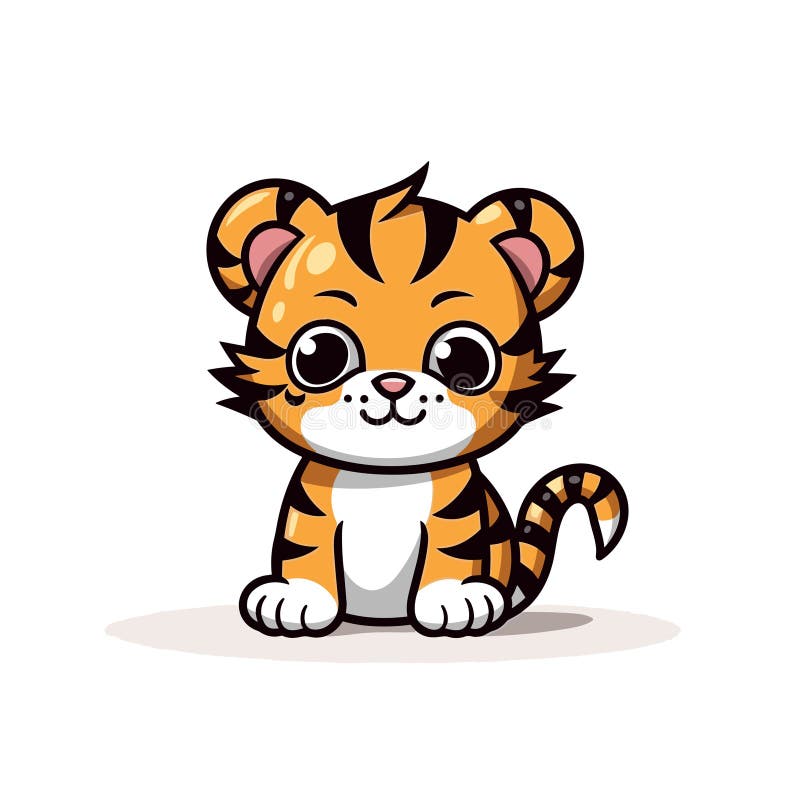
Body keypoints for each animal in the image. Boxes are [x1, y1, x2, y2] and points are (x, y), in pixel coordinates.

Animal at [207, 165, 629, 637]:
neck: (384, 477)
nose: (393, 384)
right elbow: (305, 553)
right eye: (319, 355)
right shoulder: (311, 505)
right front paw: (296, 599)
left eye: (464, 355)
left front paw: (454, 601)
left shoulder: (457, 514)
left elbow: (452, 555)